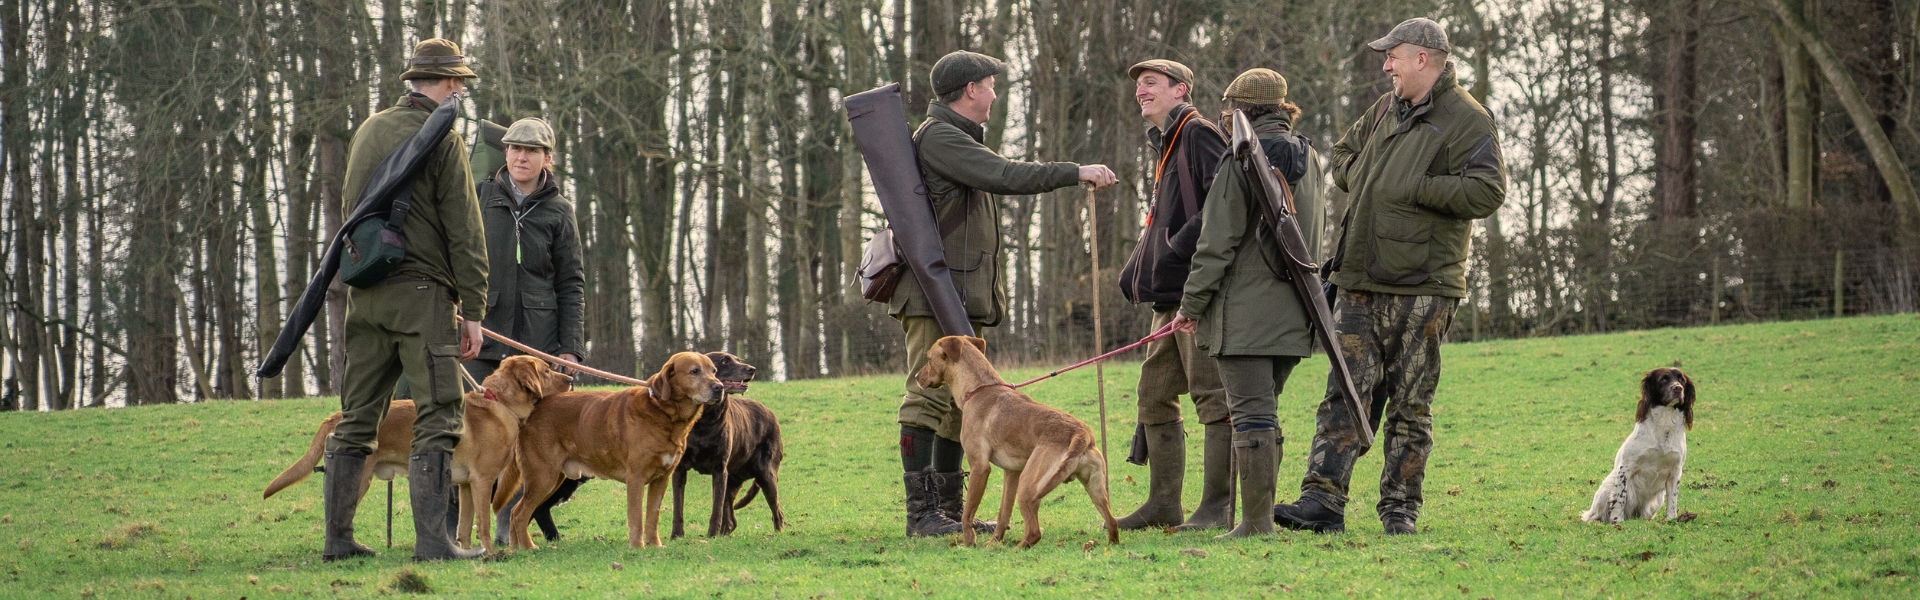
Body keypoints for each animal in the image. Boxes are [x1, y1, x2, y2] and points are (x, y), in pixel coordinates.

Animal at [261, 353, 568, 550]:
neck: (499, 403)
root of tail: (336, 417)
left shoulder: (466, 486)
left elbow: (464, 527)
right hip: (360, 479)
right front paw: (490, 555)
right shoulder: (483, 481)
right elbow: (483, 524)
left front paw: (468, 553)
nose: (569, 377)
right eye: (546, 370)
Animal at [503, 351, 725, 550]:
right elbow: (636, 517)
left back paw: (516, 549)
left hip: (553, 478)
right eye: (694, 371)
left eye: (714, 371)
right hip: (543, 477)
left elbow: (652, 516)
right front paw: (637, 547)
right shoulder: (636, 478)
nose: (719, 387)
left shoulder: (662, 479)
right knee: (519, 513)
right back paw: (529, 547)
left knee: (515, 512)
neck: (663, 413)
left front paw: (655, 546)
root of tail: (532, 411)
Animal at [917, 338, 1121, 550]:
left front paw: (969, 544)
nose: (916, 376)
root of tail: (1082, 434)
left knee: (1034, 532)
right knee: (1112, 522)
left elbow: (967, 515)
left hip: (1028, 487)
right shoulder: (1012, 473)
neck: (981, 388)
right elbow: (1003, 513)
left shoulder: (979, 468)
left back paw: (1016, 549)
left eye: (929, 359)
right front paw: (993, 543)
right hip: (1094, 489)